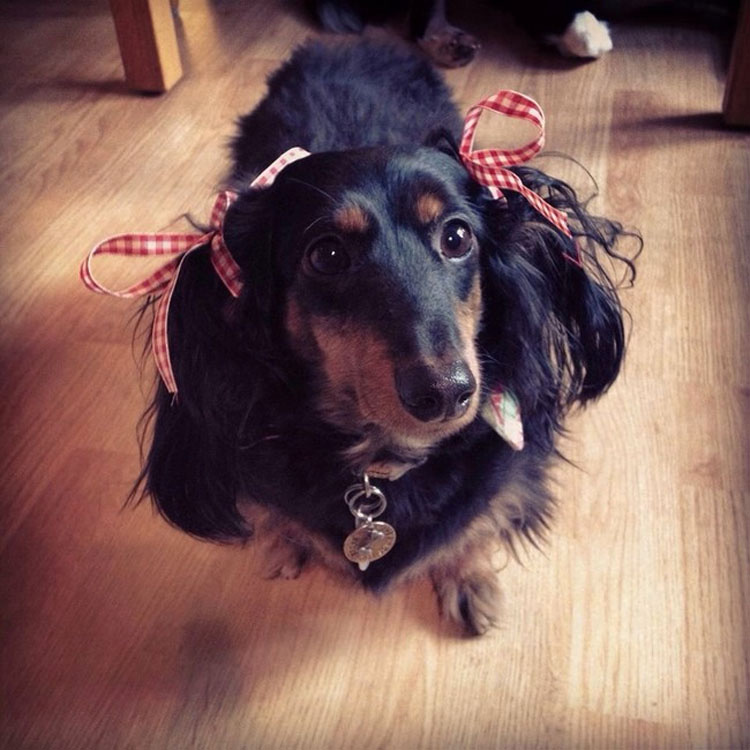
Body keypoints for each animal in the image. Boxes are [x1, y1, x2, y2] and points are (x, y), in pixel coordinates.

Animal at [87, 41, 636, 635]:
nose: (445, 393)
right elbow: (278, 514)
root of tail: (349, 42)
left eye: (457, 236)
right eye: (326, 255)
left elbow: (474, 523)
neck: (379, 464)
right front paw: (285, 543)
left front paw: (468, 579)